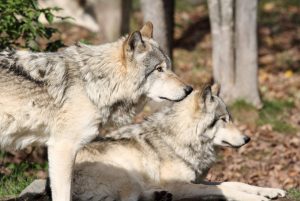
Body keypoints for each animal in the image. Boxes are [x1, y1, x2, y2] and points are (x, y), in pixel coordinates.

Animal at [0, 22, 192, 201]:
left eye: (169, 66)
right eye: (159, 69)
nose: (189, 89)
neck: (92, 84)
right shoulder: (62, 146)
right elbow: (63, 195)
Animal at [72, 85, 286, 201]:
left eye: (230, 118)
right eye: (223, 120)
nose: (247, 139)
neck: (180, 140)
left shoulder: (196, 180)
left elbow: (234, 182)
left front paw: (269, 191)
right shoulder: (180, 185)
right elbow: (226, 189)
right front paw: (257, 198)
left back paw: (160, 196)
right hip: (128, 177)